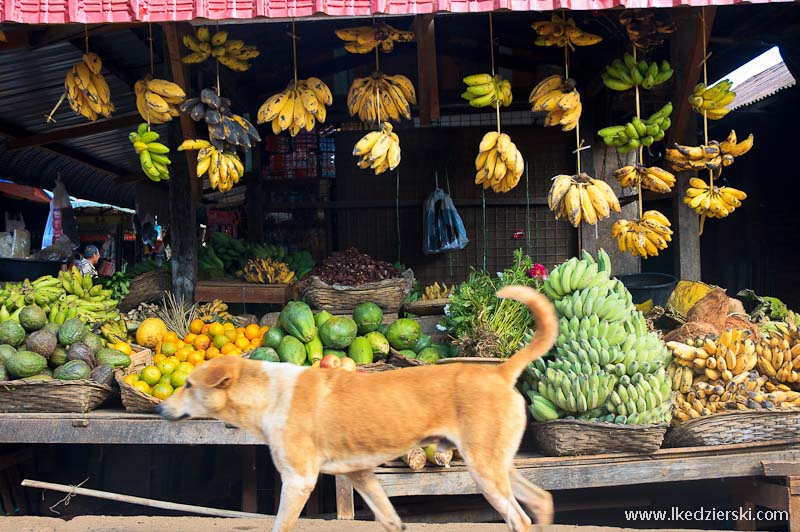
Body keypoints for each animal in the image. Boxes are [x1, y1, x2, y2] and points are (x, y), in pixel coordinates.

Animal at [156, 286, 556, 532]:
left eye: (188, 385)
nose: (160, 411)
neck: (270, 391)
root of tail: (500, 370)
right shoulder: (362, 475)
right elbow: (392, 521)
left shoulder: (299, 481)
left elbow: (280, 525)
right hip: (497, 466)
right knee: (542, 499)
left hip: (484, 469)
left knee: (519, 519)